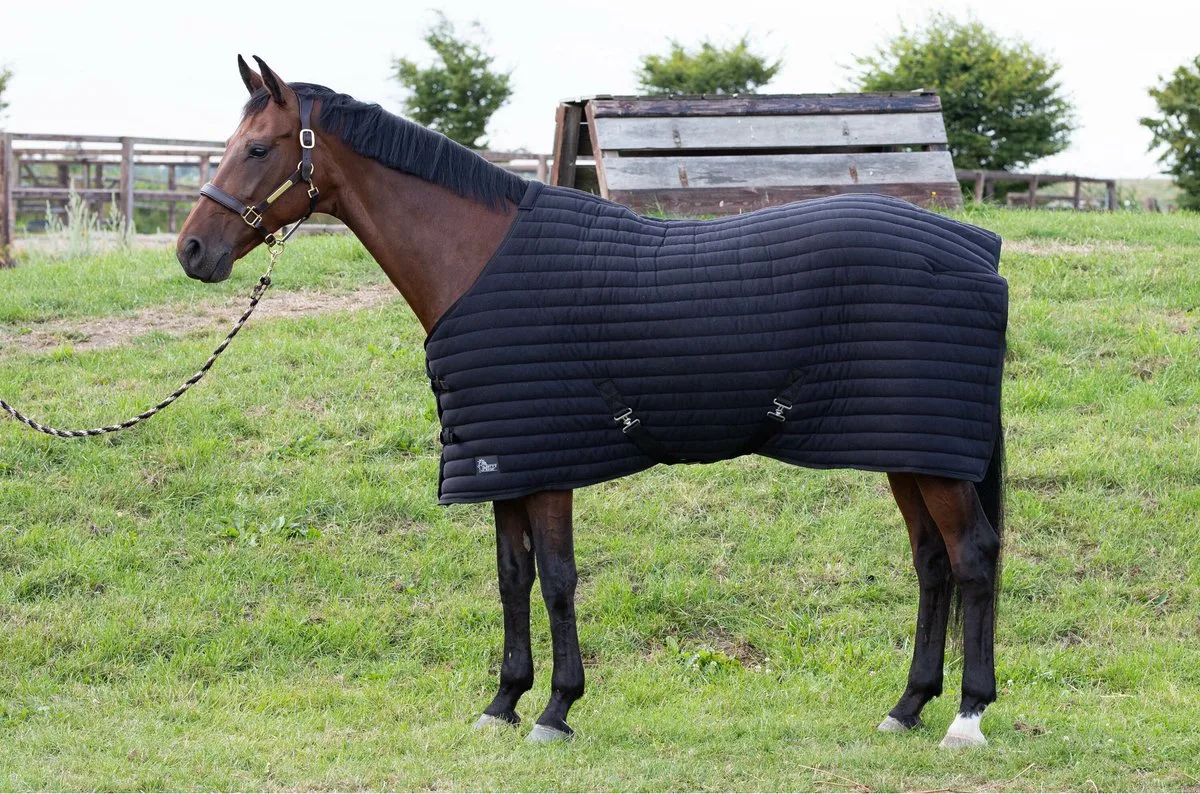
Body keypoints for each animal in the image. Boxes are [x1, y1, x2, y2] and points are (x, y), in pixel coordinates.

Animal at [177, 56, 1007, 749]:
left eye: (259, 149)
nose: (191, 251)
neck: (477, 259)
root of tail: (983, 252)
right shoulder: (503, 459)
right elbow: (512, 578)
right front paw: (503, 703)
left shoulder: (548, 463)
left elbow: (556, 579)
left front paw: (556, 710)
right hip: (907, 449)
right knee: (932, 563)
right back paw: (907, 706)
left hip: (931, 456)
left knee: (971, 556)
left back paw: (966, 717)